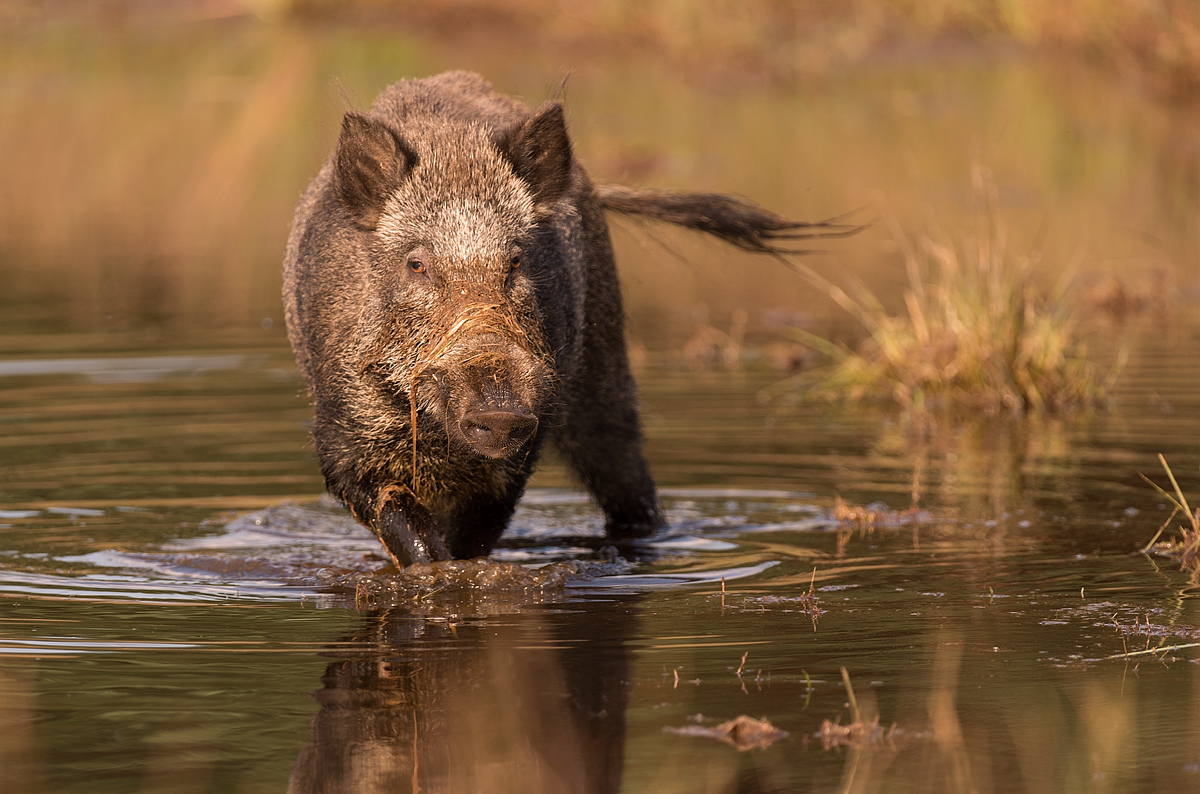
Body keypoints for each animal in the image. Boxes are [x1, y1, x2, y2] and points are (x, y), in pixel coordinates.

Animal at [283, 71, 851, 568]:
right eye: (416, 264)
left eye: (516, 258)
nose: (500, 410)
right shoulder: (343, 439)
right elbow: (408, 530)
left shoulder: (525, 443)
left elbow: (475, 537)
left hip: (604, 366)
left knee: (629, 481)